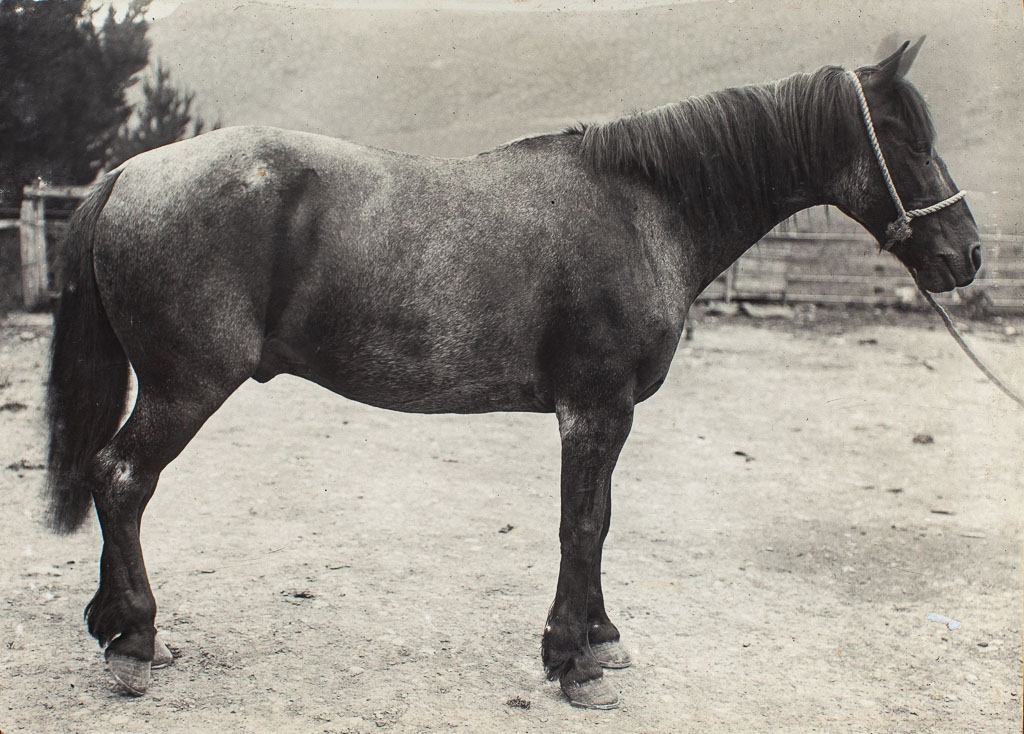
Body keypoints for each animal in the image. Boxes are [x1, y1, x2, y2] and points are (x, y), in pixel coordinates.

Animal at [44, 40, 980, 709]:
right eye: (904, 137)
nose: (966, 255)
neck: (642, 208)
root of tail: (129, 172)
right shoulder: (594, 408)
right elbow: (582, 526)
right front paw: (574, 663)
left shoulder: (604, 414)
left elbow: (599, 520)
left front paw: (600, 639)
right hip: (184, 388)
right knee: (120, 478)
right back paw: (134, 643)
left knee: (107, 478)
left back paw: (115, 627)